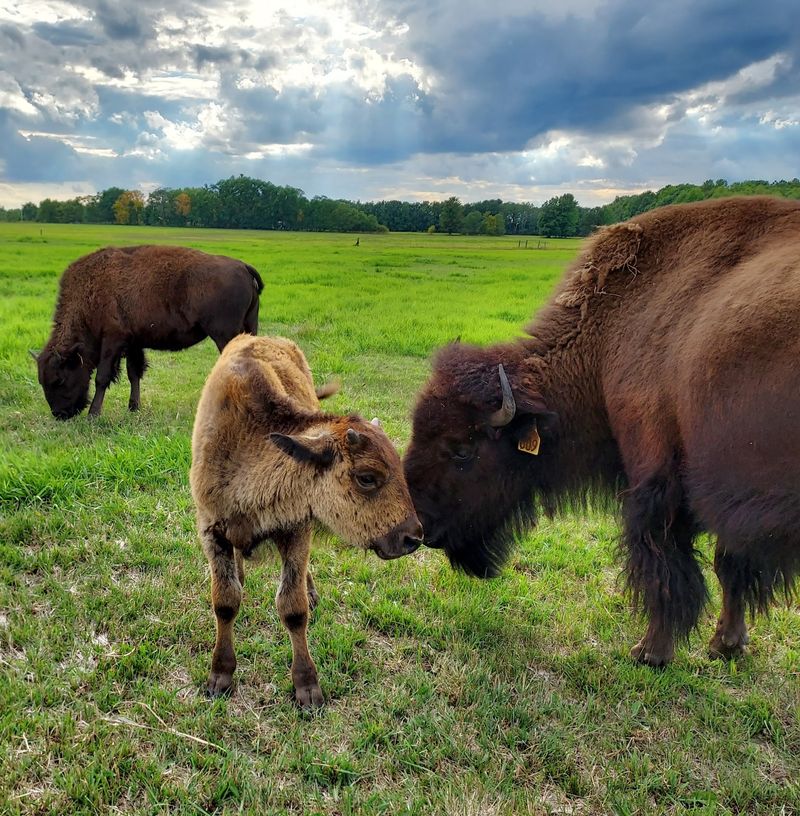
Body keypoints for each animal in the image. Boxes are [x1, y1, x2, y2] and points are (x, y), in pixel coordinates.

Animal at [34, 245, 263, 419]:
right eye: (41, 381)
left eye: (59, 379)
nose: (60, 414)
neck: (91, 292)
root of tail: (243, 266)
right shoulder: (133, 343)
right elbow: (133, 373)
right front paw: (133, 407)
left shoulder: (112, 341)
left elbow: (102, 377)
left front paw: (93, 414)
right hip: (249, 327)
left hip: (225, 335)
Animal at [405, 195, 800, 666]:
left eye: (463, 450)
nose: (418, 525)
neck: (607, 340)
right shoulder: (727, 491)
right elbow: (729, 565)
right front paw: (726, 644)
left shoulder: (659, 479)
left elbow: (663, 563)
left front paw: (651, 652)